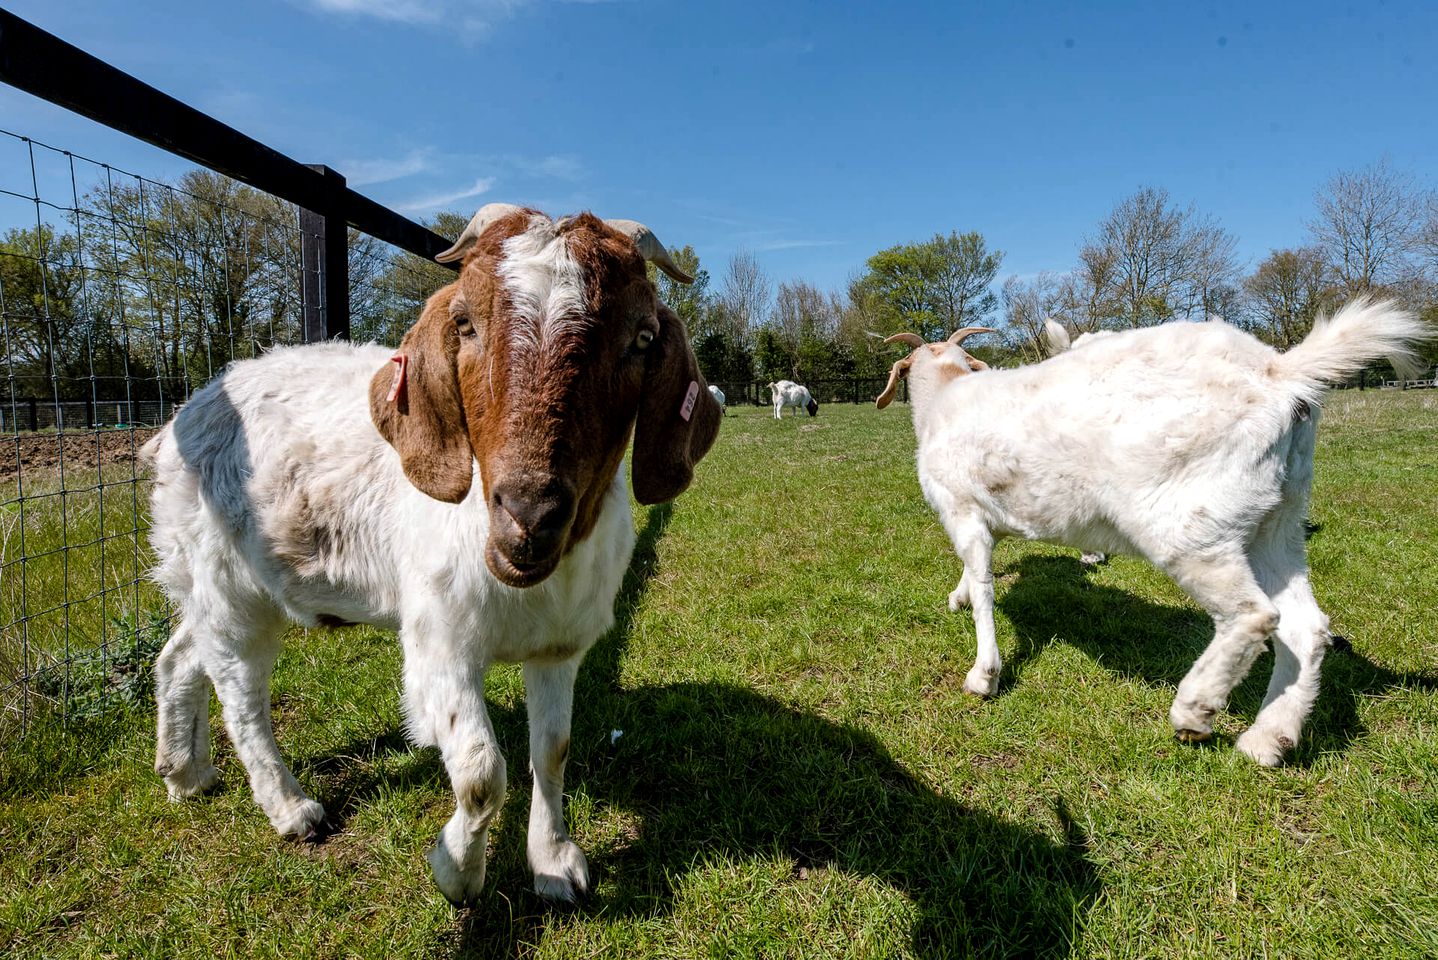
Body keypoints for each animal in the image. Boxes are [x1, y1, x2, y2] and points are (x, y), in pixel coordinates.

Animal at [145, 202, 719, 902]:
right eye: (465, 323)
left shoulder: (560, 646)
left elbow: (553, 747)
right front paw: (456, 872)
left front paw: (554, 862)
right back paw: (290, 807)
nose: (529, 514)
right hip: (233, 583)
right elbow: (480, 770)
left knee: (181, 656)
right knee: (240, 690)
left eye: (641, 337)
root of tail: (182, 419)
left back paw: (185, 773)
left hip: (211, 580)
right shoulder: (440, 642)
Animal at [874, 300, 1426, 764]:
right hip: (1278, 519)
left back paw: (1194, 710)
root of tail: (1280, 373)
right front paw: (959, 595)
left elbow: (985, 584)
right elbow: (974, 572)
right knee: (1305, 628)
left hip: (1187, 523)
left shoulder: (960, 509)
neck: (944, 399)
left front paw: (984, 674)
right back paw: (1268, 739)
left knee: (1252, 615)